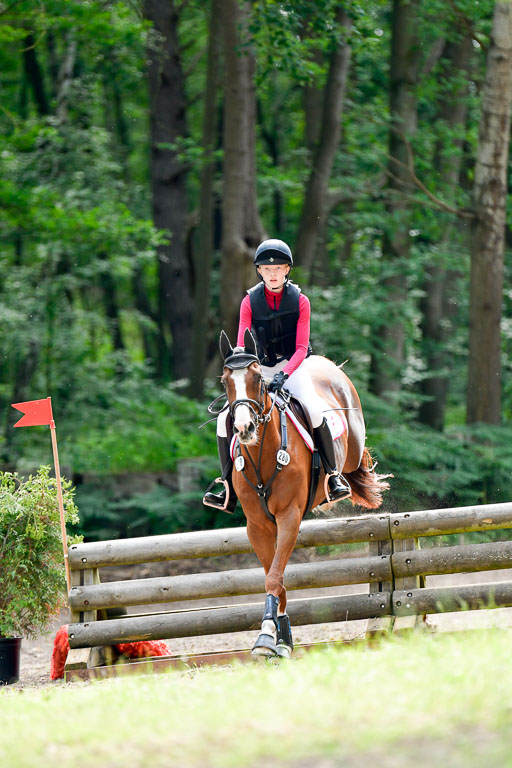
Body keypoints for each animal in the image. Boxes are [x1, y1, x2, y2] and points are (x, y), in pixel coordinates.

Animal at [217, 328, 388, 656]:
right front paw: (279, 638)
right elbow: (276, 577)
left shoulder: (289, 517)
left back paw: (340, 482)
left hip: (352, 441)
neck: (263, 455)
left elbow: (274, 578)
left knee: (356, 460)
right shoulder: (257, 526)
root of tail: (327, 364)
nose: (244, 429)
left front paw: (266, 636)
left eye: (257, 379)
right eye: (225, 381)